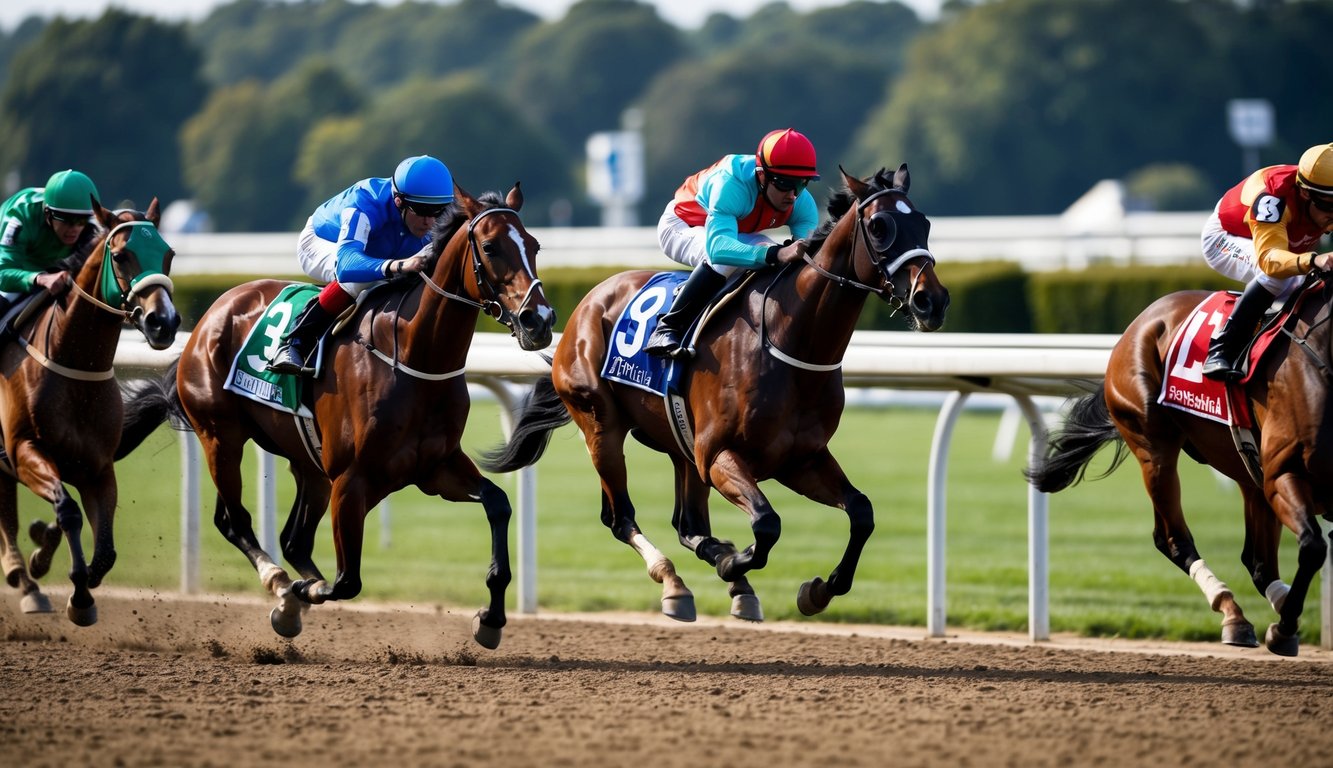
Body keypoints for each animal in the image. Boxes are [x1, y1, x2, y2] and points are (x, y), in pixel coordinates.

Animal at [0, 197, 179, 624]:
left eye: (168, 254)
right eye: (121, 255)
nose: (164, 323)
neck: (75, 364)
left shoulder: (98, 467)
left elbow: (106, 553)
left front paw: (55, 562)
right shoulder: (24, 451)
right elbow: (68, 511)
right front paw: (78, 596)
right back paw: (22, 576)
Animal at [122, 182, 554, 645]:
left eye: (533, 245)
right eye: (490, 247)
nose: (540, 320)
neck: (415, 357)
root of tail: (213, 313)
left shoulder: (436, 467)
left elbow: (498, 504)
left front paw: (490, 618)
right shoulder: (352, 479)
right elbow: (347, 581)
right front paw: (303, 590)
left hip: (308, 462)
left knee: (292, 539)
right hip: (221, 436)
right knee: (235, 520)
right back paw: (282, 587)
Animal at [485, 165, 954, 621]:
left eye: (926, 223)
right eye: (879, 226)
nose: (931, 300)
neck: (789, 342)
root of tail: (584, 306)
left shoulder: (800, 459)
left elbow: (862, 513)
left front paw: (818, 590)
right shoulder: (719, 455)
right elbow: (767, 525)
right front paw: (735, 561)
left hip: (681, 444)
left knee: (688, 524)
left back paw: (727, 579)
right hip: (603, 426)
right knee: (620, 518)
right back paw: (676, 581)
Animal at [1029, 285, 1333, 656]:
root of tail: (1142, 320)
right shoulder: (1284, 475)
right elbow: (1313, 546)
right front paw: (1284, 630)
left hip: (1247, 468)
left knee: (1257, 561)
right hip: (1153, 445)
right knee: (1173, 538)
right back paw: (1235, 614)